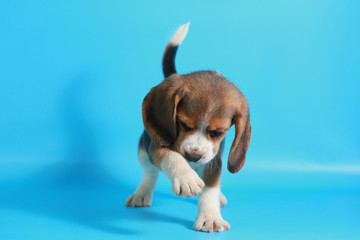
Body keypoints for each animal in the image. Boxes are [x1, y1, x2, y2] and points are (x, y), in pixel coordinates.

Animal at [125, 23, 252, 232]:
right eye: (183, 124)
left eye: (217, 133)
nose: (193, 156)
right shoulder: (158, 146)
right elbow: (172, 157)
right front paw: (187, 178)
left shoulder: (213, 161)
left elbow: (210, 189)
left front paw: (210, 217)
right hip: (144, 149)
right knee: (149, 173)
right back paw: (141, 194)